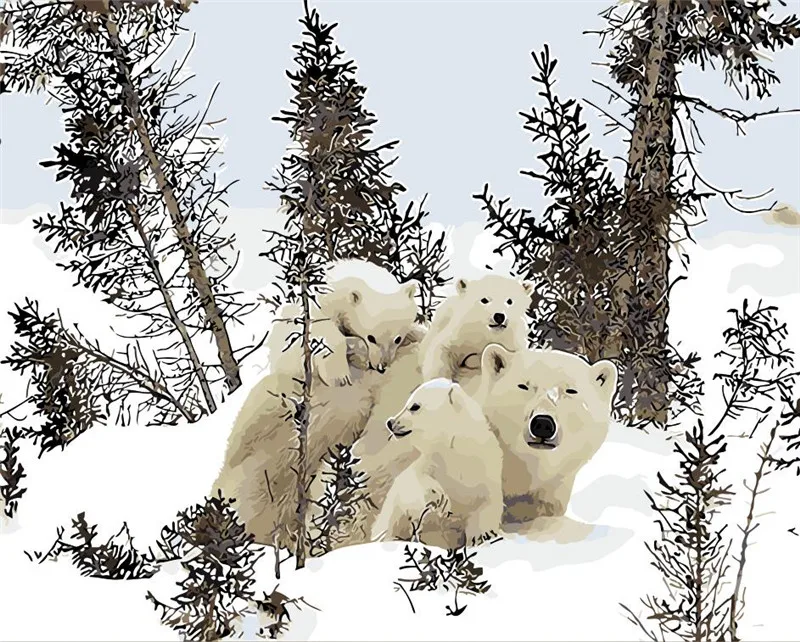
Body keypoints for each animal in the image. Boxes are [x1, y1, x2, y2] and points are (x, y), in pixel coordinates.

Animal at [265, 259, 418, 387]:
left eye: (397, 339)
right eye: (371, 338)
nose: (382, 366)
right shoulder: (319, 304)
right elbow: (322, 328)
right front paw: (339, 377)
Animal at [370, 378, 504, 549]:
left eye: (414, 406)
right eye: (407, 402)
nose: (390, 422)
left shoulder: (487, 469)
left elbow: (488, 503)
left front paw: (480, 537)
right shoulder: (433, 461)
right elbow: (415, 482)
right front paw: (439, 497)